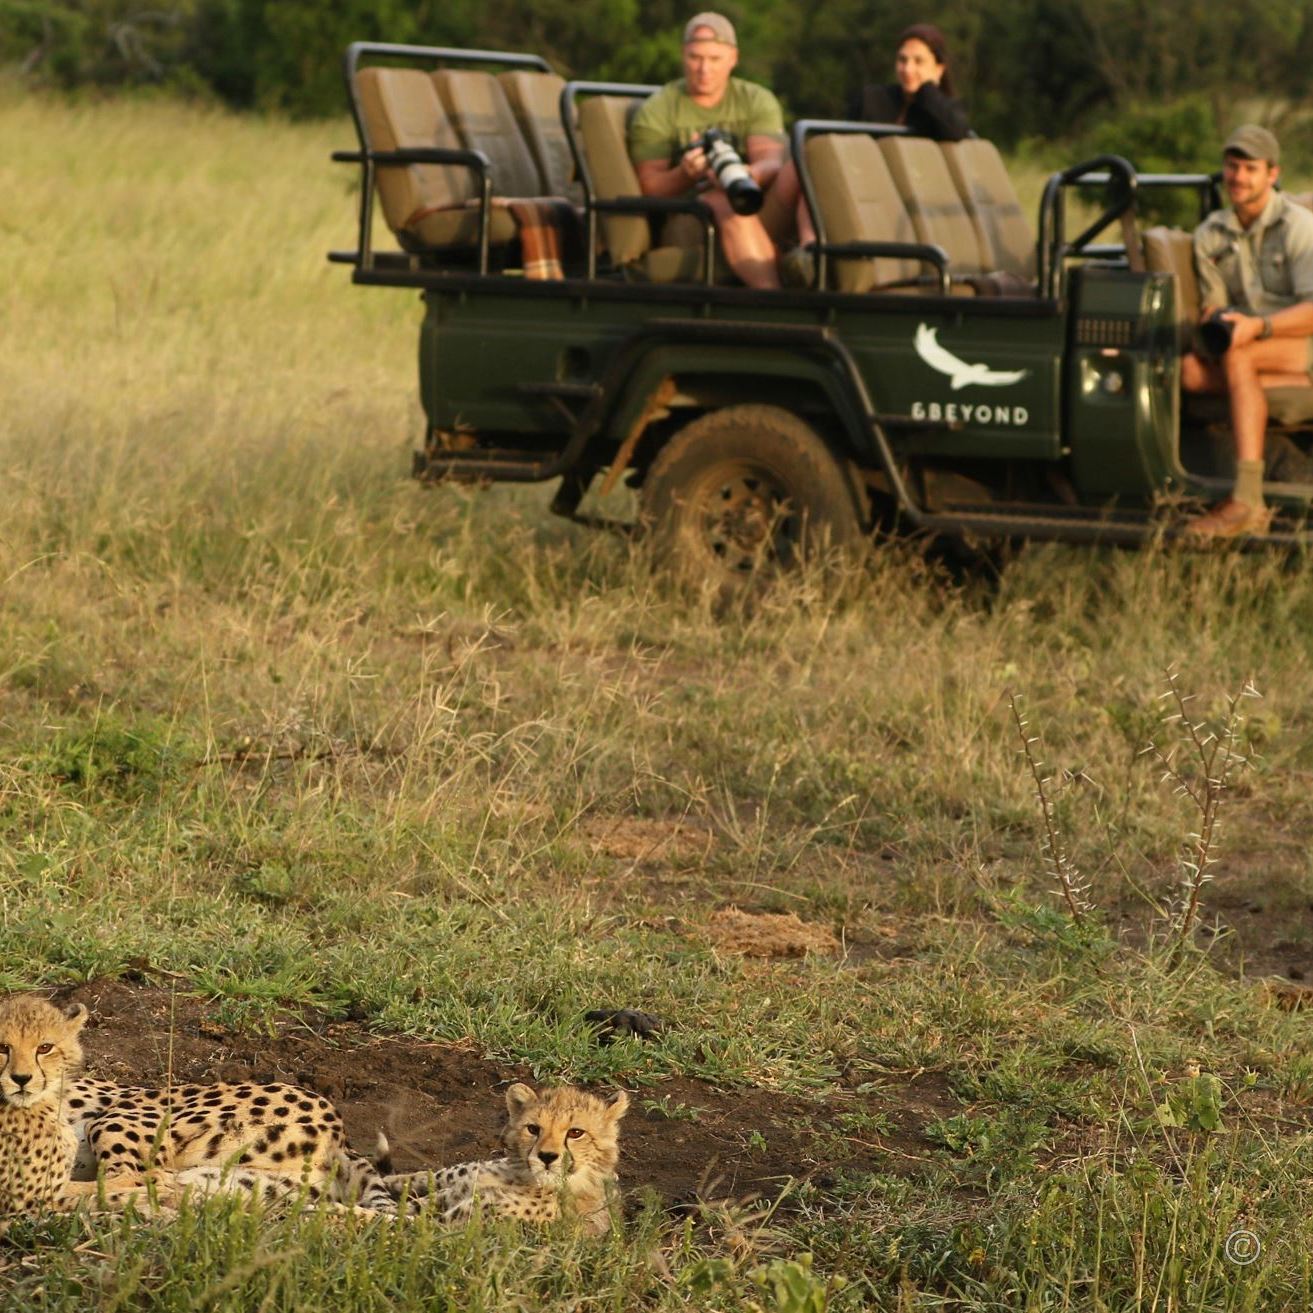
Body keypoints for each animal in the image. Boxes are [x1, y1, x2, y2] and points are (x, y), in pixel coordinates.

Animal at [379, 1082, 628, 1234]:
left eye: (576, 1133)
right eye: (533, 1129)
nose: (546, 1157)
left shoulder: (453, 1223)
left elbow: (398, 1221)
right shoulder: (453, 1197)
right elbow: (402, 1208)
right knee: (429, 1177)